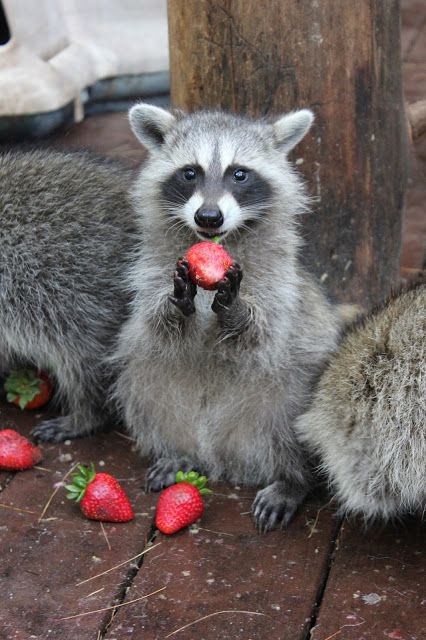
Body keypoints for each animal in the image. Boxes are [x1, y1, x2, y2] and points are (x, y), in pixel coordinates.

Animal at [114, 104, 342, 528]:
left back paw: (293, 478)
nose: (208, 216)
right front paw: (175, 303)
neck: (216, 242)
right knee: (145, 383)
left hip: (287, 396)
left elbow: (264, 334)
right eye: (190, 172)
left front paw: (237, 312)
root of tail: (223, 456)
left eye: (239, 173)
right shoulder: (152, 268)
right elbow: (155, 326)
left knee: (293, 417)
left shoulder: (277, 280)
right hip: (157, 389)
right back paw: (179, 453)